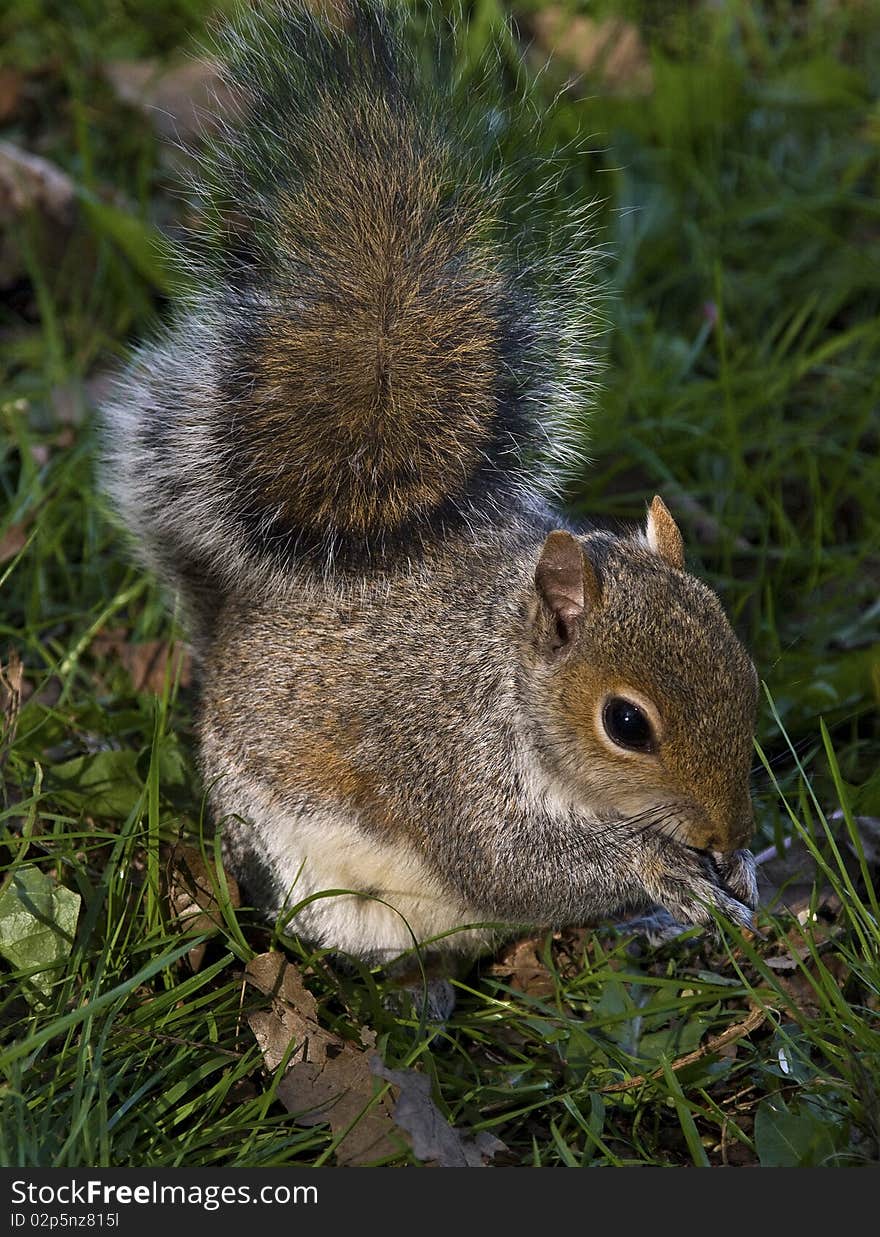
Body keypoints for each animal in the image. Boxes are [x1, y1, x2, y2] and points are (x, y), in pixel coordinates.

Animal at [101, 0, 757, 964]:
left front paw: (731, 874)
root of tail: (229, 632)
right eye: (627, 724)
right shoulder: (450, 760)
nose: (727, 834)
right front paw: (661, 872)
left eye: (744, 667)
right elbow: (513, 864)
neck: (506, 674)